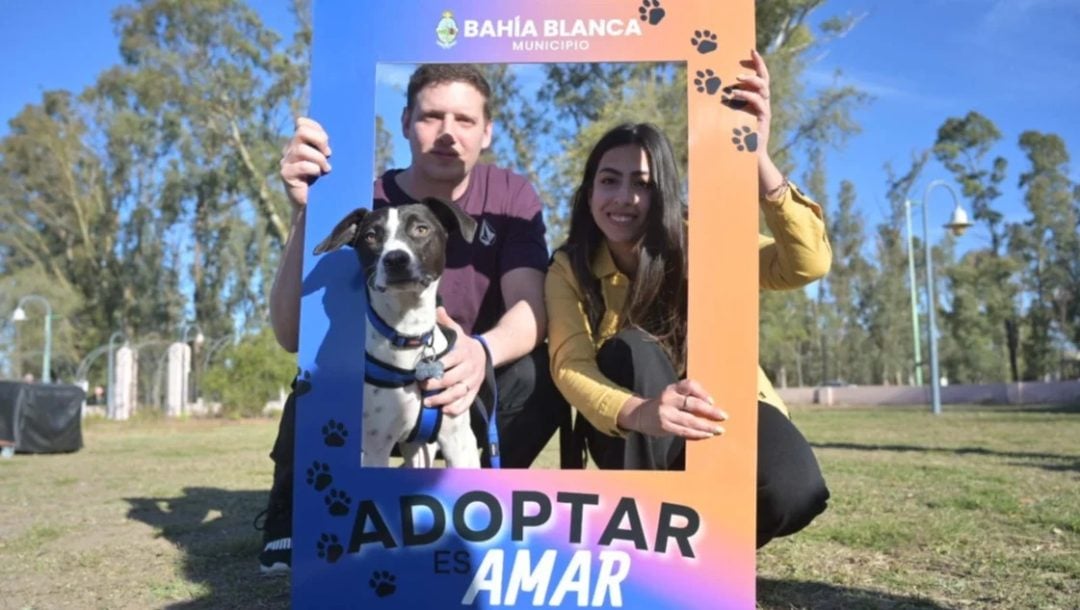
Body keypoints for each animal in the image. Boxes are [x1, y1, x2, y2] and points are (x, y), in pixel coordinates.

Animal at [313, 197, 481, 468]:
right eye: (371, 236)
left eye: (421, 229)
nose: (396, 259)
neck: (409, 334)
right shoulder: (375, 448)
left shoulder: (459, 441)